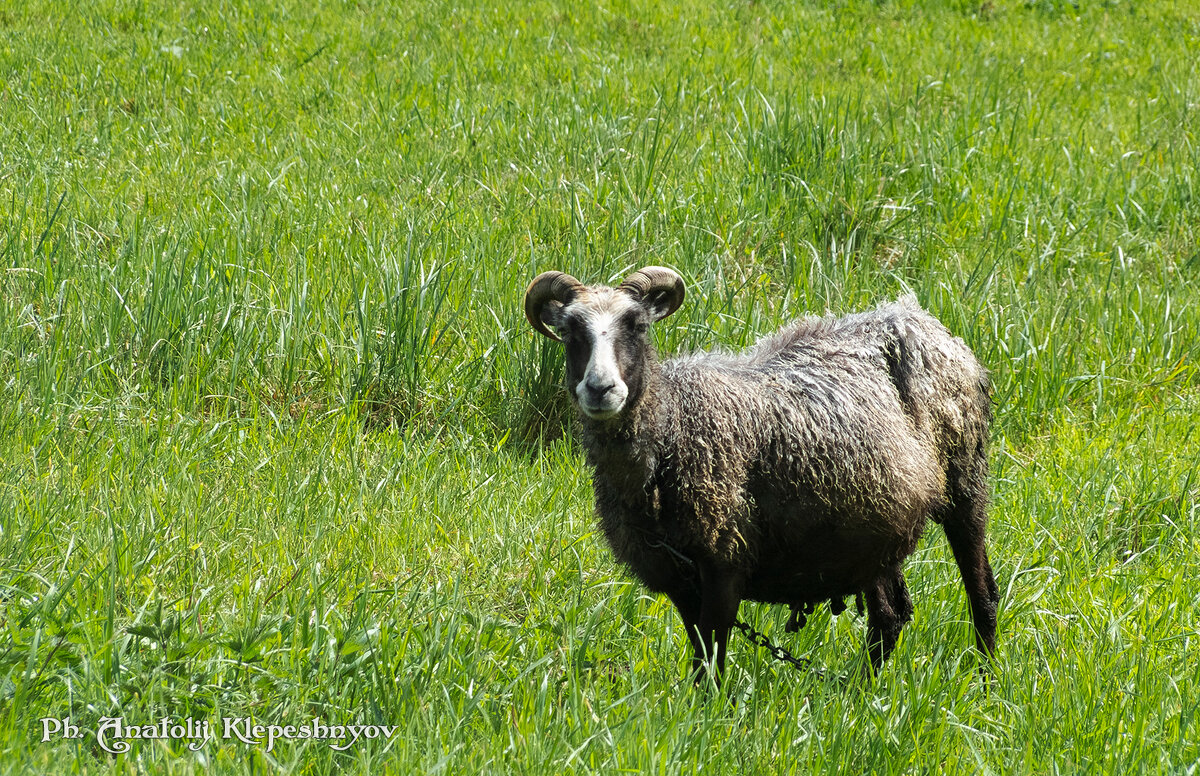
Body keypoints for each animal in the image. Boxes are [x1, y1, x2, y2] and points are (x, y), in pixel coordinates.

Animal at [525, 267, 1003, 681]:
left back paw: (984, 681)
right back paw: (859, 693)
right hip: (877, 526)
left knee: (981, 591)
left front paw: (710, 717)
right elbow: (701, 652)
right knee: (890, 615)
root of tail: (915, 315)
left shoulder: (725, 562)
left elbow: (712, 657)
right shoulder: (678, 579)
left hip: (966, 477)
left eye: (638, 326)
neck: (672, 430)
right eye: (570, 332)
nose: (600, 389)